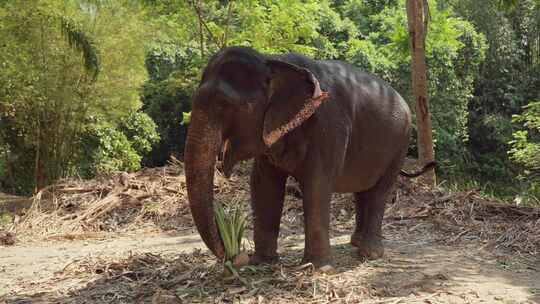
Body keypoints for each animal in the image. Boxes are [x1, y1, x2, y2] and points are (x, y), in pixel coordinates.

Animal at [184, 46, 436, 270]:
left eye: (225, 105)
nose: (236, 257)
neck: (273, 60)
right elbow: (263, 185)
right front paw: (262, 262)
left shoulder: (329, 126)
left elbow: (317, 183)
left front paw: (318, 269)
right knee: (362, 189)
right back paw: (356, 243)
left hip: (400, 143)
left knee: (380, 190)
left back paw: (370, 253)